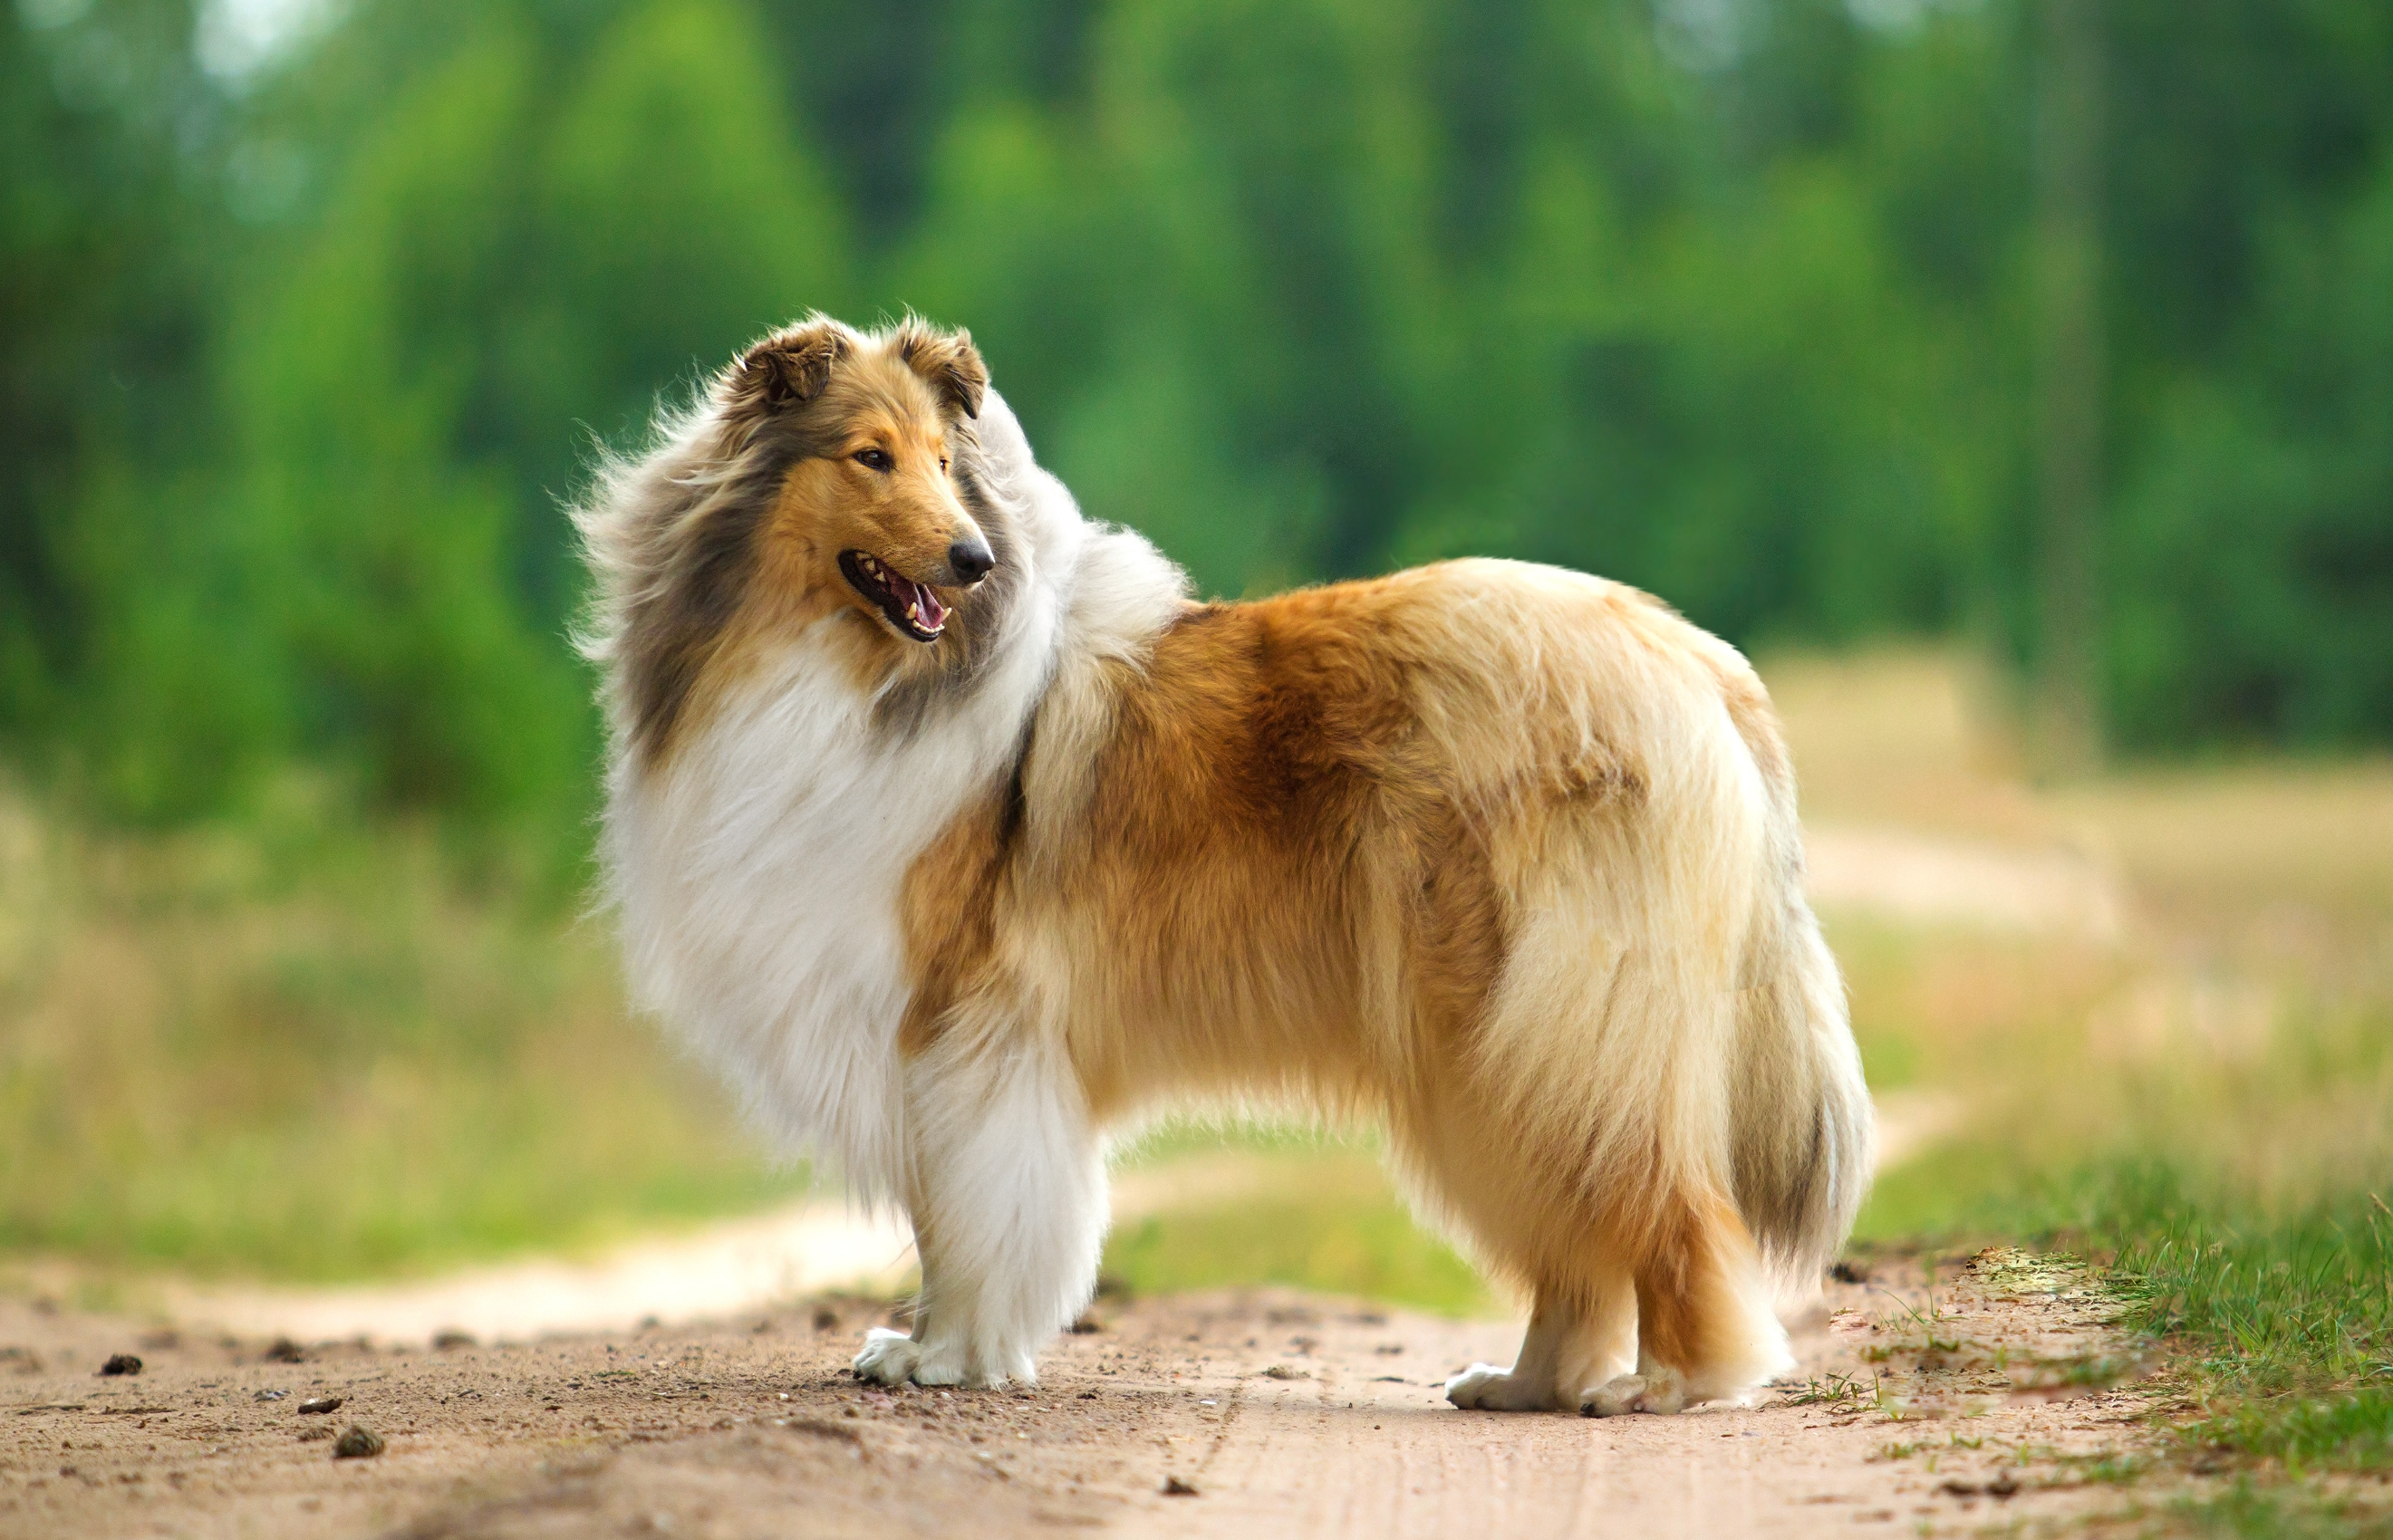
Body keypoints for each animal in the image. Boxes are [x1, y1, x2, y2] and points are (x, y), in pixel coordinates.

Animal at [579, 315, 1866, 1415]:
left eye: (947, 461)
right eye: (870, 456)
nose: (974, 559)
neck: (840, 669)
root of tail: (1693, 656)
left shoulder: (962, 1024)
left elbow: (967, 1214)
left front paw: (943, 1353)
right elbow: (947, 1211)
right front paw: (938, 1344)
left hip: (1546, 1026)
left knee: (1664, 1207)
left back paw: (1670, 1383)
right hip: (1489, 1045)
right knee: (1575, 1241)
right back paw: (1522, 1382)